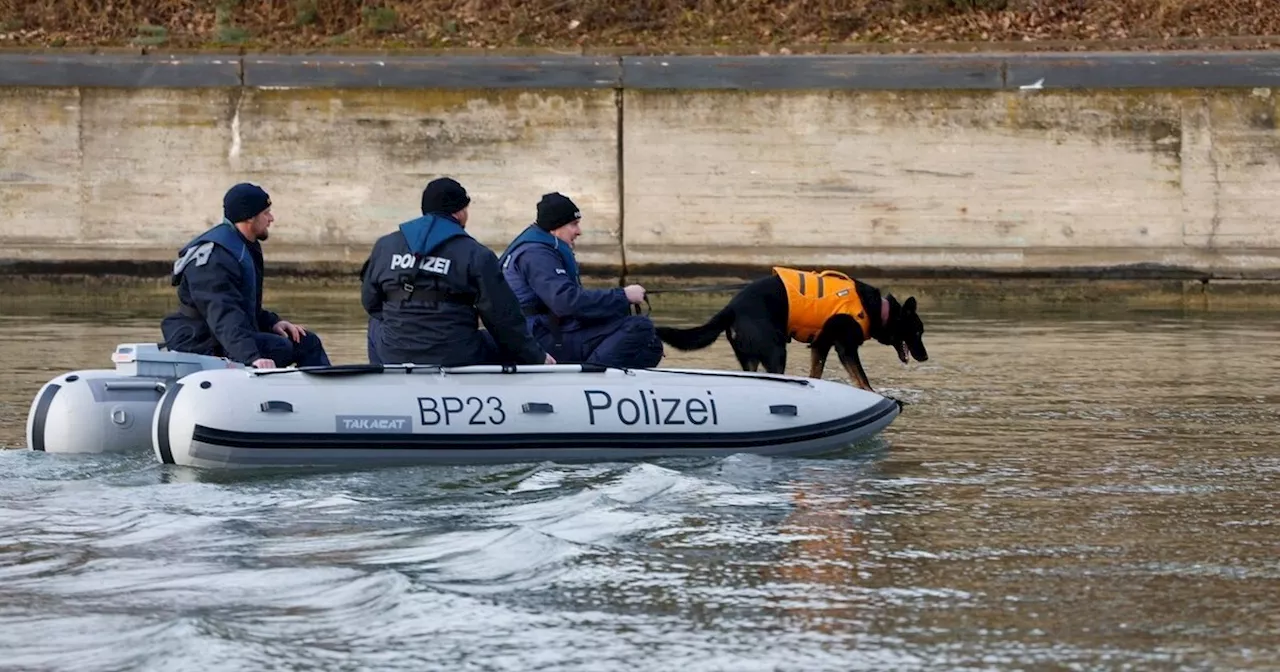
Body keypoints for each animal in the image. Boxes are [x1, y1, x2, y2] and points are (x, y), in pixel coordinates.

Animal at [655, 271, 926, 394]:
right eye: (917, 332)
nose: (924, 357)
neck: (878, 309)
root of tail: (731, 307)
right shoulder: (845, 349)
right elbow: (863, 380)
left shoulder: (820, 346)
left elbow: (816, 373)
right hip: (776, 352)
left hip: (751, 358)